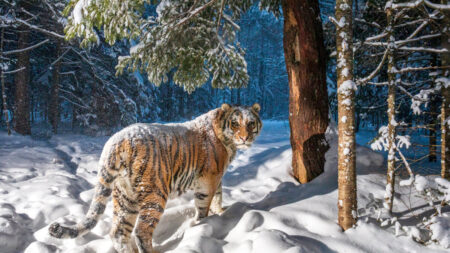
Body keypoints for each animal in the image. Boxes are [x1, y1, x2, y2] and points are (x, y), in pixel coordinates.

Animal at [48, 103, 262, 253]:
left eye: (251, 123)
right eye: (235, 123)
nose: (244, 138)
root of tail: (115, 142)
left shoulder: (217, 179)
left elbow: (218, 196)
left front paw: (221, 212)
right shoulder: (208, 180)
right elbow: (204, 206)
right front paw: (202, 224)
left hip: (125, 197)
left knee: (118, 232)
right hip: (155, 194)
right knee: (141, 231)